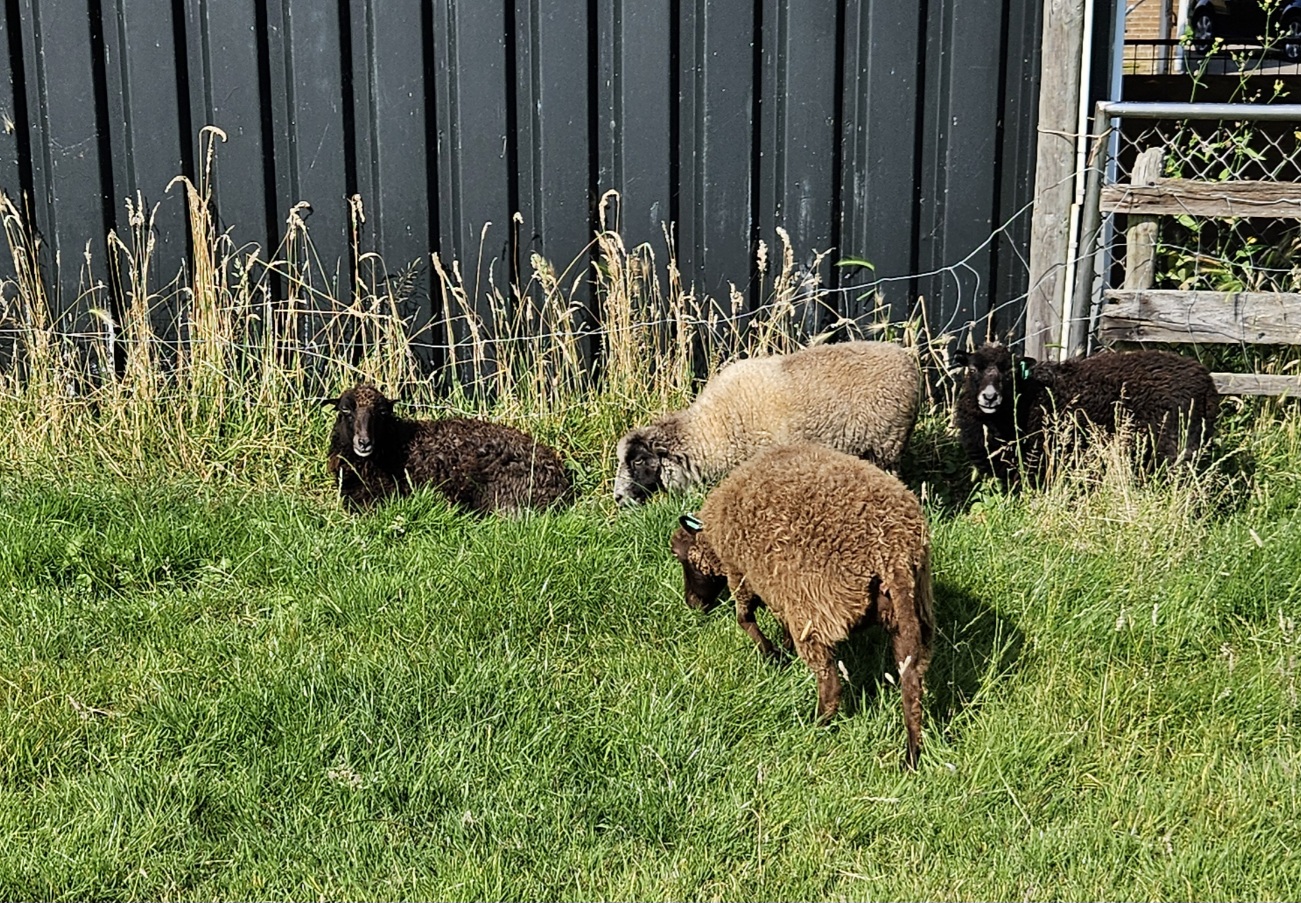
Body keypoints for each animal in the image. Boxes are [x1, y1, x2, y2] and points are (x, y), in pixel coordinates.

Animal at [669, 442, 934, 769]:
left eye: (679, 554)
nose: (691, 604)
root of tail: (892, 552)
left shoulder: (741, 574)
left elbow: (744, 618)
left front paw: (772, 654)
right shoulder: (778, 590)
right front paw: (783, 650)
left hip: (815, 612)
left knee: (830, 683)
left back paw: (817, 726)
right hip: (912, 611)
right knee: (911, 682)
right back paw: (911, 754)